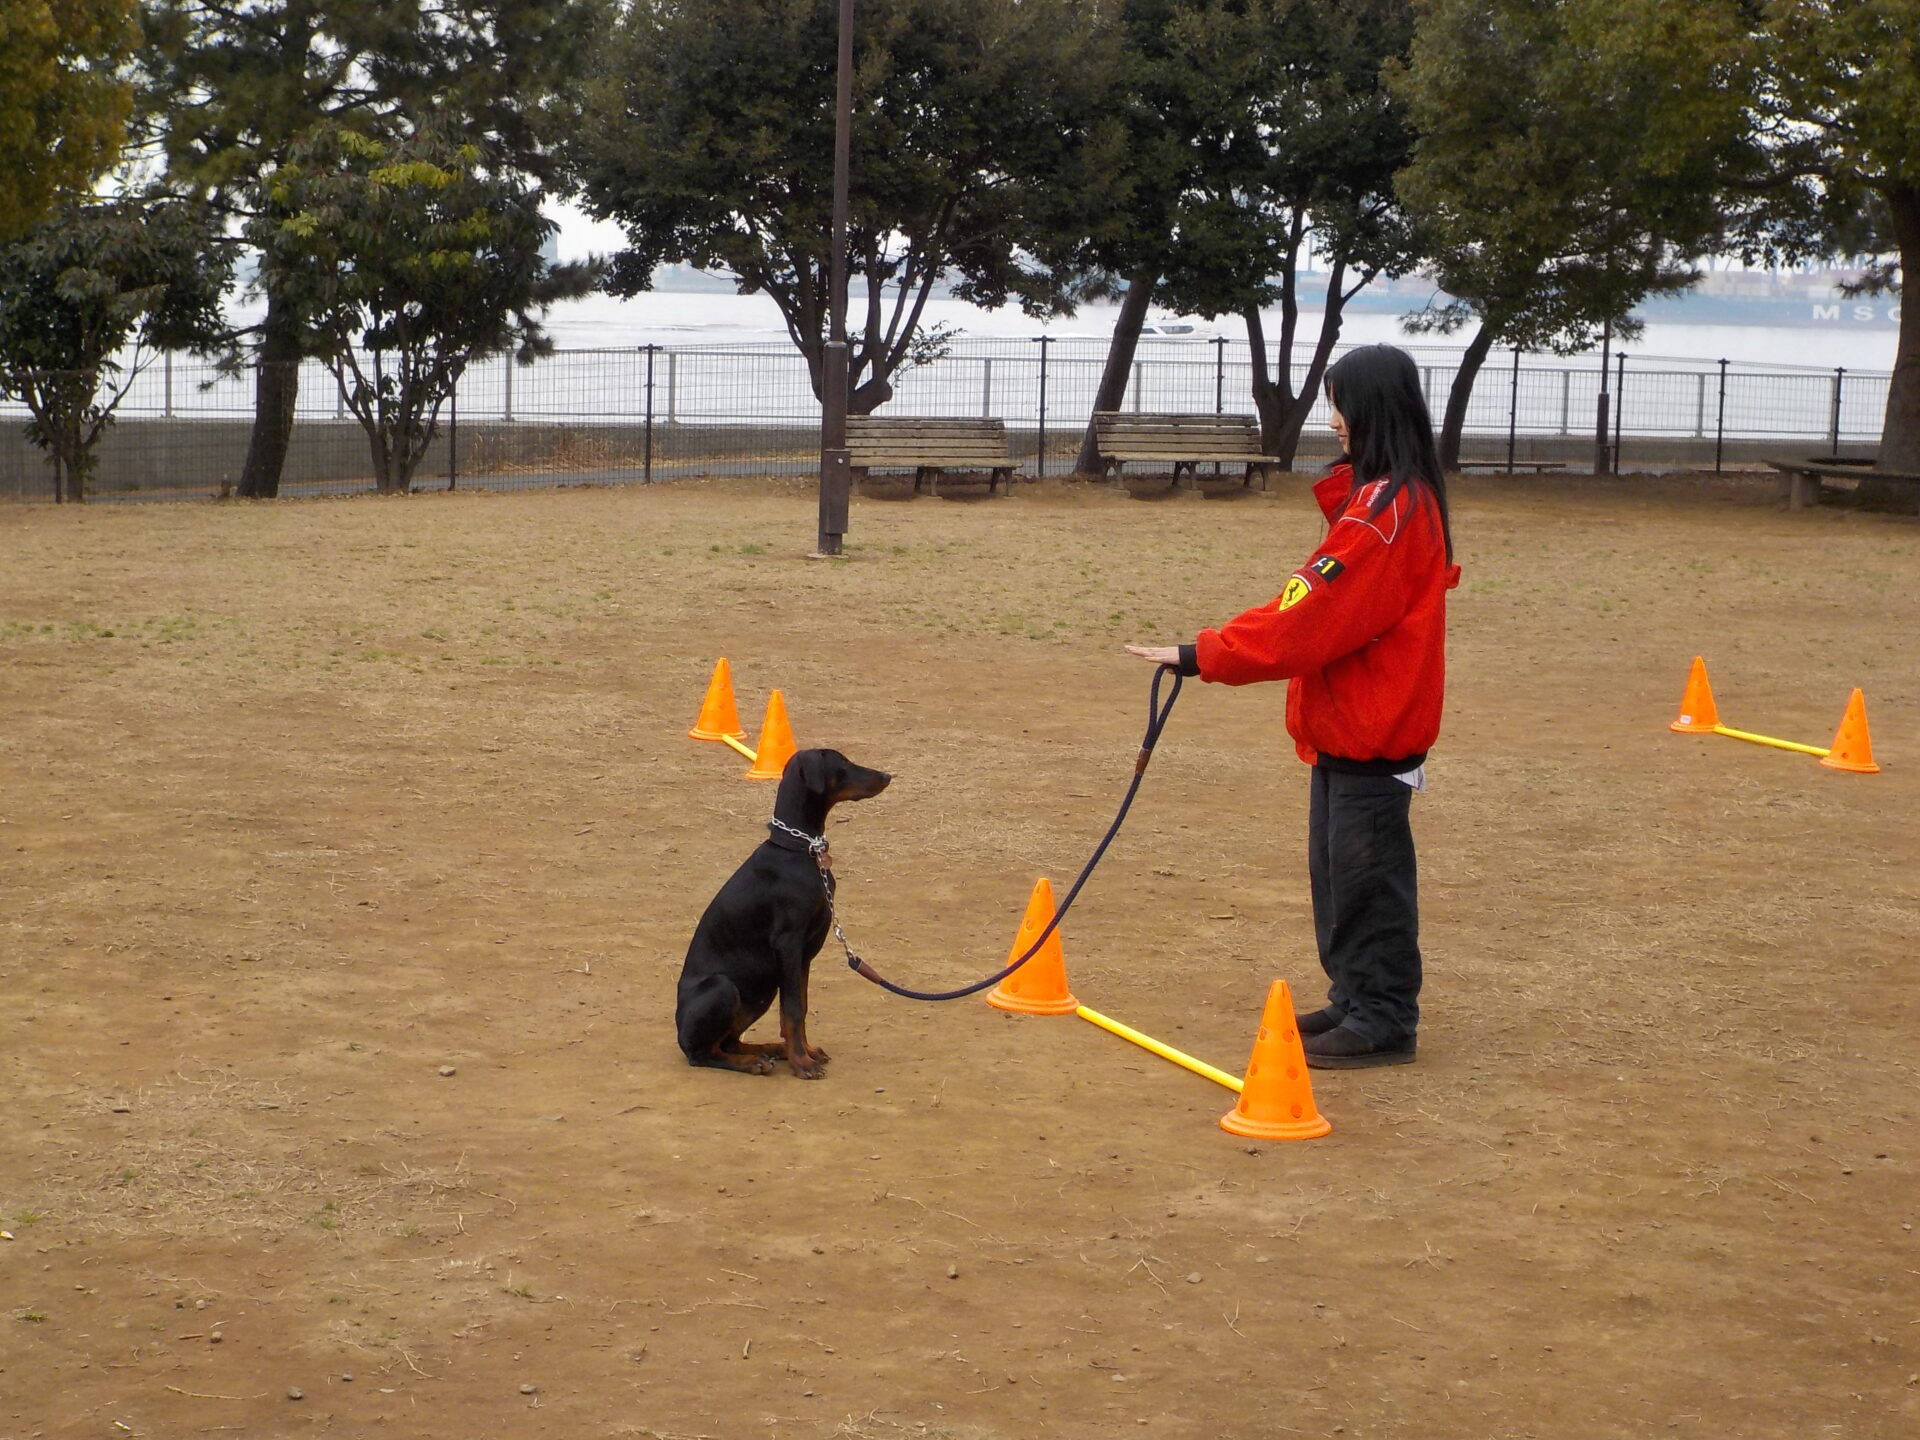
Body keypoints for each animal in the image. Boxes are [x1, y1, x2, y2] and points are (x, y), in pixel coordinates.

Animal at [675, 748, 890, 1075]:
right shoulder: (788, 944)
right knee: (702, 1054)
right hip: (724, 987)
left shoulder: (804, 953)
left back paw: (770, 1050)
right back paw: (753, 1062)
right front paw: (802, 1062)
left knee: (730, 1041)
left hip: (759, 993)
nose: (887, 776)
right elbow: (793, 1009)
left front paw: (804, 1052)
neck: (800, 849)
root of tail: (679, 1031)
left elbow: (798, 1006)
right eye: (842, 762)